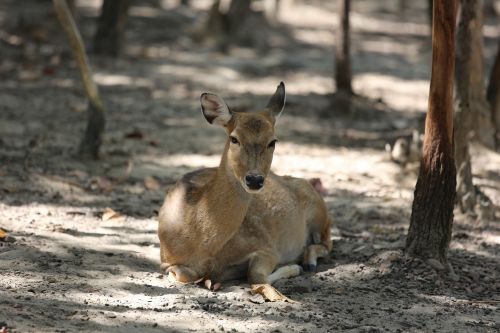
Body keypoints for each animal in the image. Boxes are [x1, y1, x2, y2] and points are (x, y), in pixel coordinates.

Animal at [158, 81, 332, 296]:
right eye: (234, 139)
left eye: (273, 141)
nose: (254, 179)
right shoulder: (166, 259)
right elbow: (182, 275)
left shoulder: (266, 247)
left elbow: (256, 276)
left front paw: (293, 268)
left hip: (319, 208)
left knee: (327, 242)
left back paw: (307, 262)